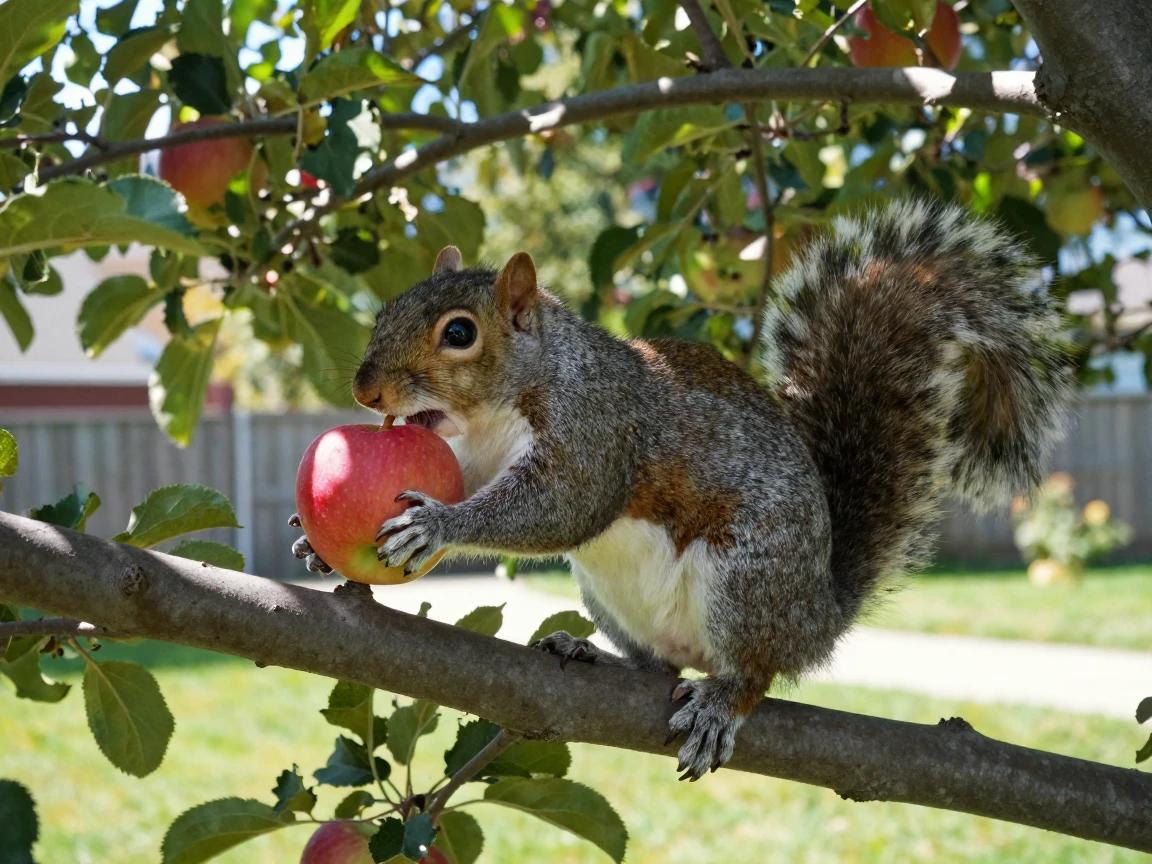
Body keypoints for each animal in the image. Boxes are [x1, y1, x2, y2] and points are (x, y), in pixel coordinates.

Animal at [290, 200, 1073, 780]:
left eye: (459, 333)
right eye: (389, 306)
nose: (366, 388)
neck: (502, 404)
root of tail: (817, 616)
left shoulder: (597, 431)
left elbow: (560, 508)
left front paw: (438, 528)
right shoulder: (477, 459)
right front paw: (315, 549)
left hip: (745, 579)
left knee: (755, 669)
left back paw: (722, 703)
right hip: (611, 595)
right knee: (658, 660)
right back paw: (594, 655)